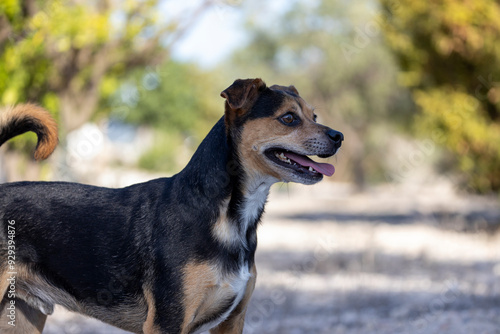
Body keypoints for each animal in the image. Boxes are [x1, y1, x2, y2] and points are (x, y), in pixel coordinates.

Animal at [0, 77, 344, 332]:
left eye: (313, 116)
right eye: (288, 118)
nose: (338, 136)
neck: (224, 215)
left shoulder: (231, 322)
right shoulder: (167, 322)